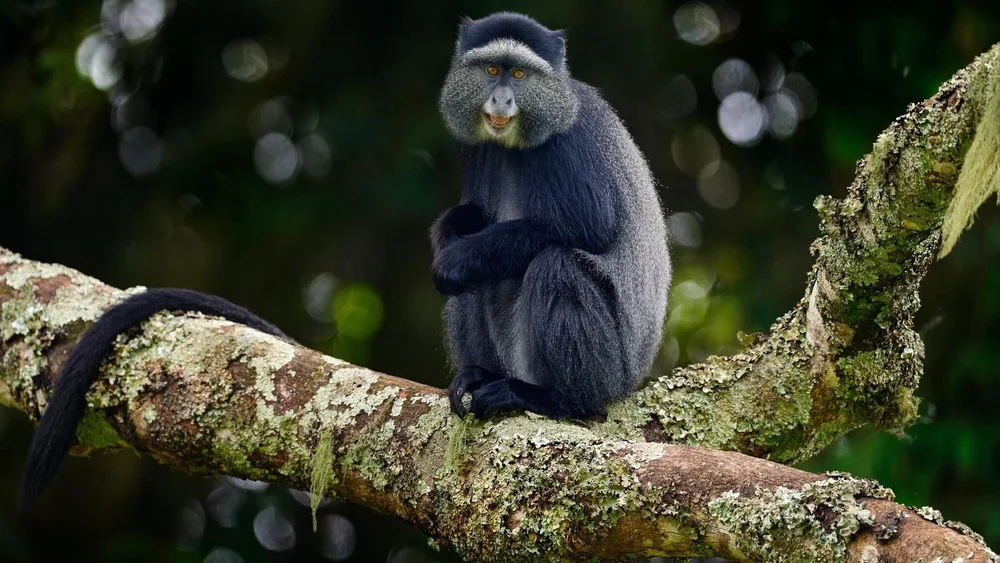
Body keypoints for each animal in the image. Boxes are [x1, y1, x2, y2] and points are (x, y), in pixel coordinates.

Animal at [432, 12, 671, 419]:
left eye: (519, 75)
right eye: (492, 69)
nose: (501, 99)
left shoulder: (569, 141)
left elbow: (589, 227)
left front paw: (457, 257)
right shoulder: (477, 147)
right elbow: (476, 214)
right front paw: (447, 232)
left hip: (609, 373)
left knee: (557, 266)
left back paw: (552, 398)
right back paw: (481, 375)